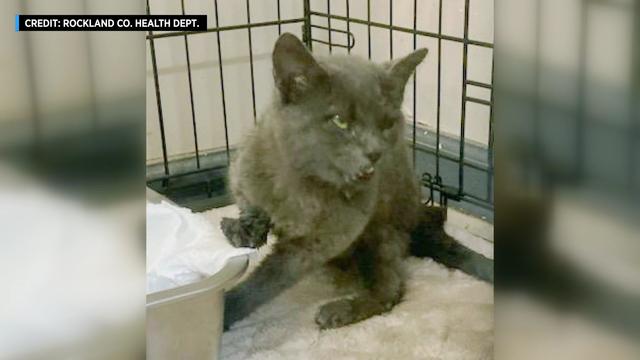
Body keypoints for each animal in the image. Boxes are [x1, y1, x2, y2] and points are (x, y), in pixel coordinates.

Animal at [222, 33, 428, 330]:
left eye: (387, 124)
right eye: (340, 121)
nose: (375, 152)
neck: (301, 182)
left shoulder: (325, 238)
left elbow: (271, 277)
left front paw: (228, 307)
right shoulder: (243, 164)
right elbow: (246, 198)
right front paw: (244, 229)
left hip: (384, 232)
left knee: (391, 288)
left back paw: (339, 310)